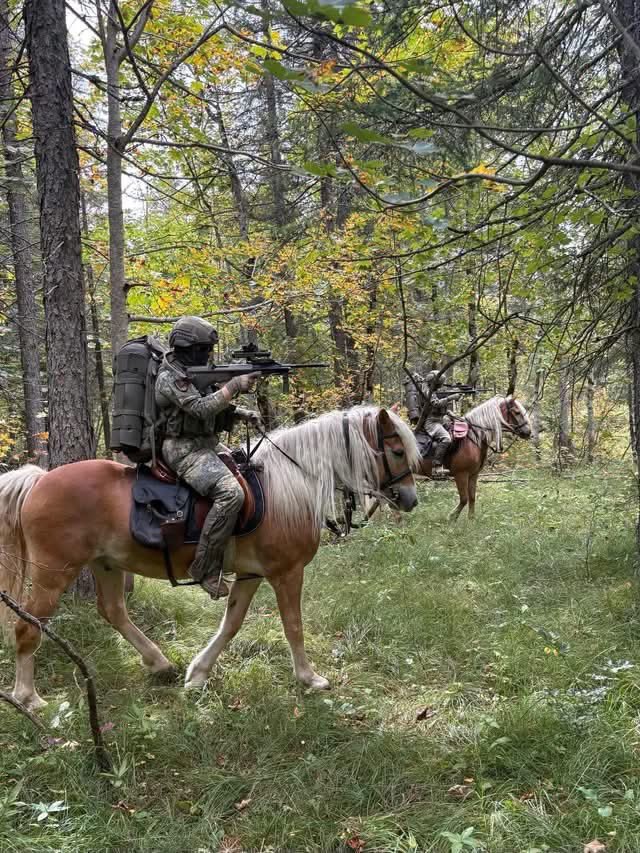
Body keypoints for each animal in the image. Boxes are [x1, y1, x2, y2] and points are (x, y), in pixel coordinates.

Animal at [0, 406, 420, 712]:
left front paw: (198, 673)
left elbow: (231, 624)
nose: (410, 499)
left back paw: (160, 663)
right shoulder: (286, 573)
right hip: (54, 572)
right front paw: (309, 678)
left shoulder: (250, 575)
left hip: (105, 565)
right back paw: (28, 697)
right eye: (397, 451)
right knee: (27, 626)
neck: (292, 481)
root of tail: (39, 480)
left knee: (113, 611)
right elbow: (293, 627)